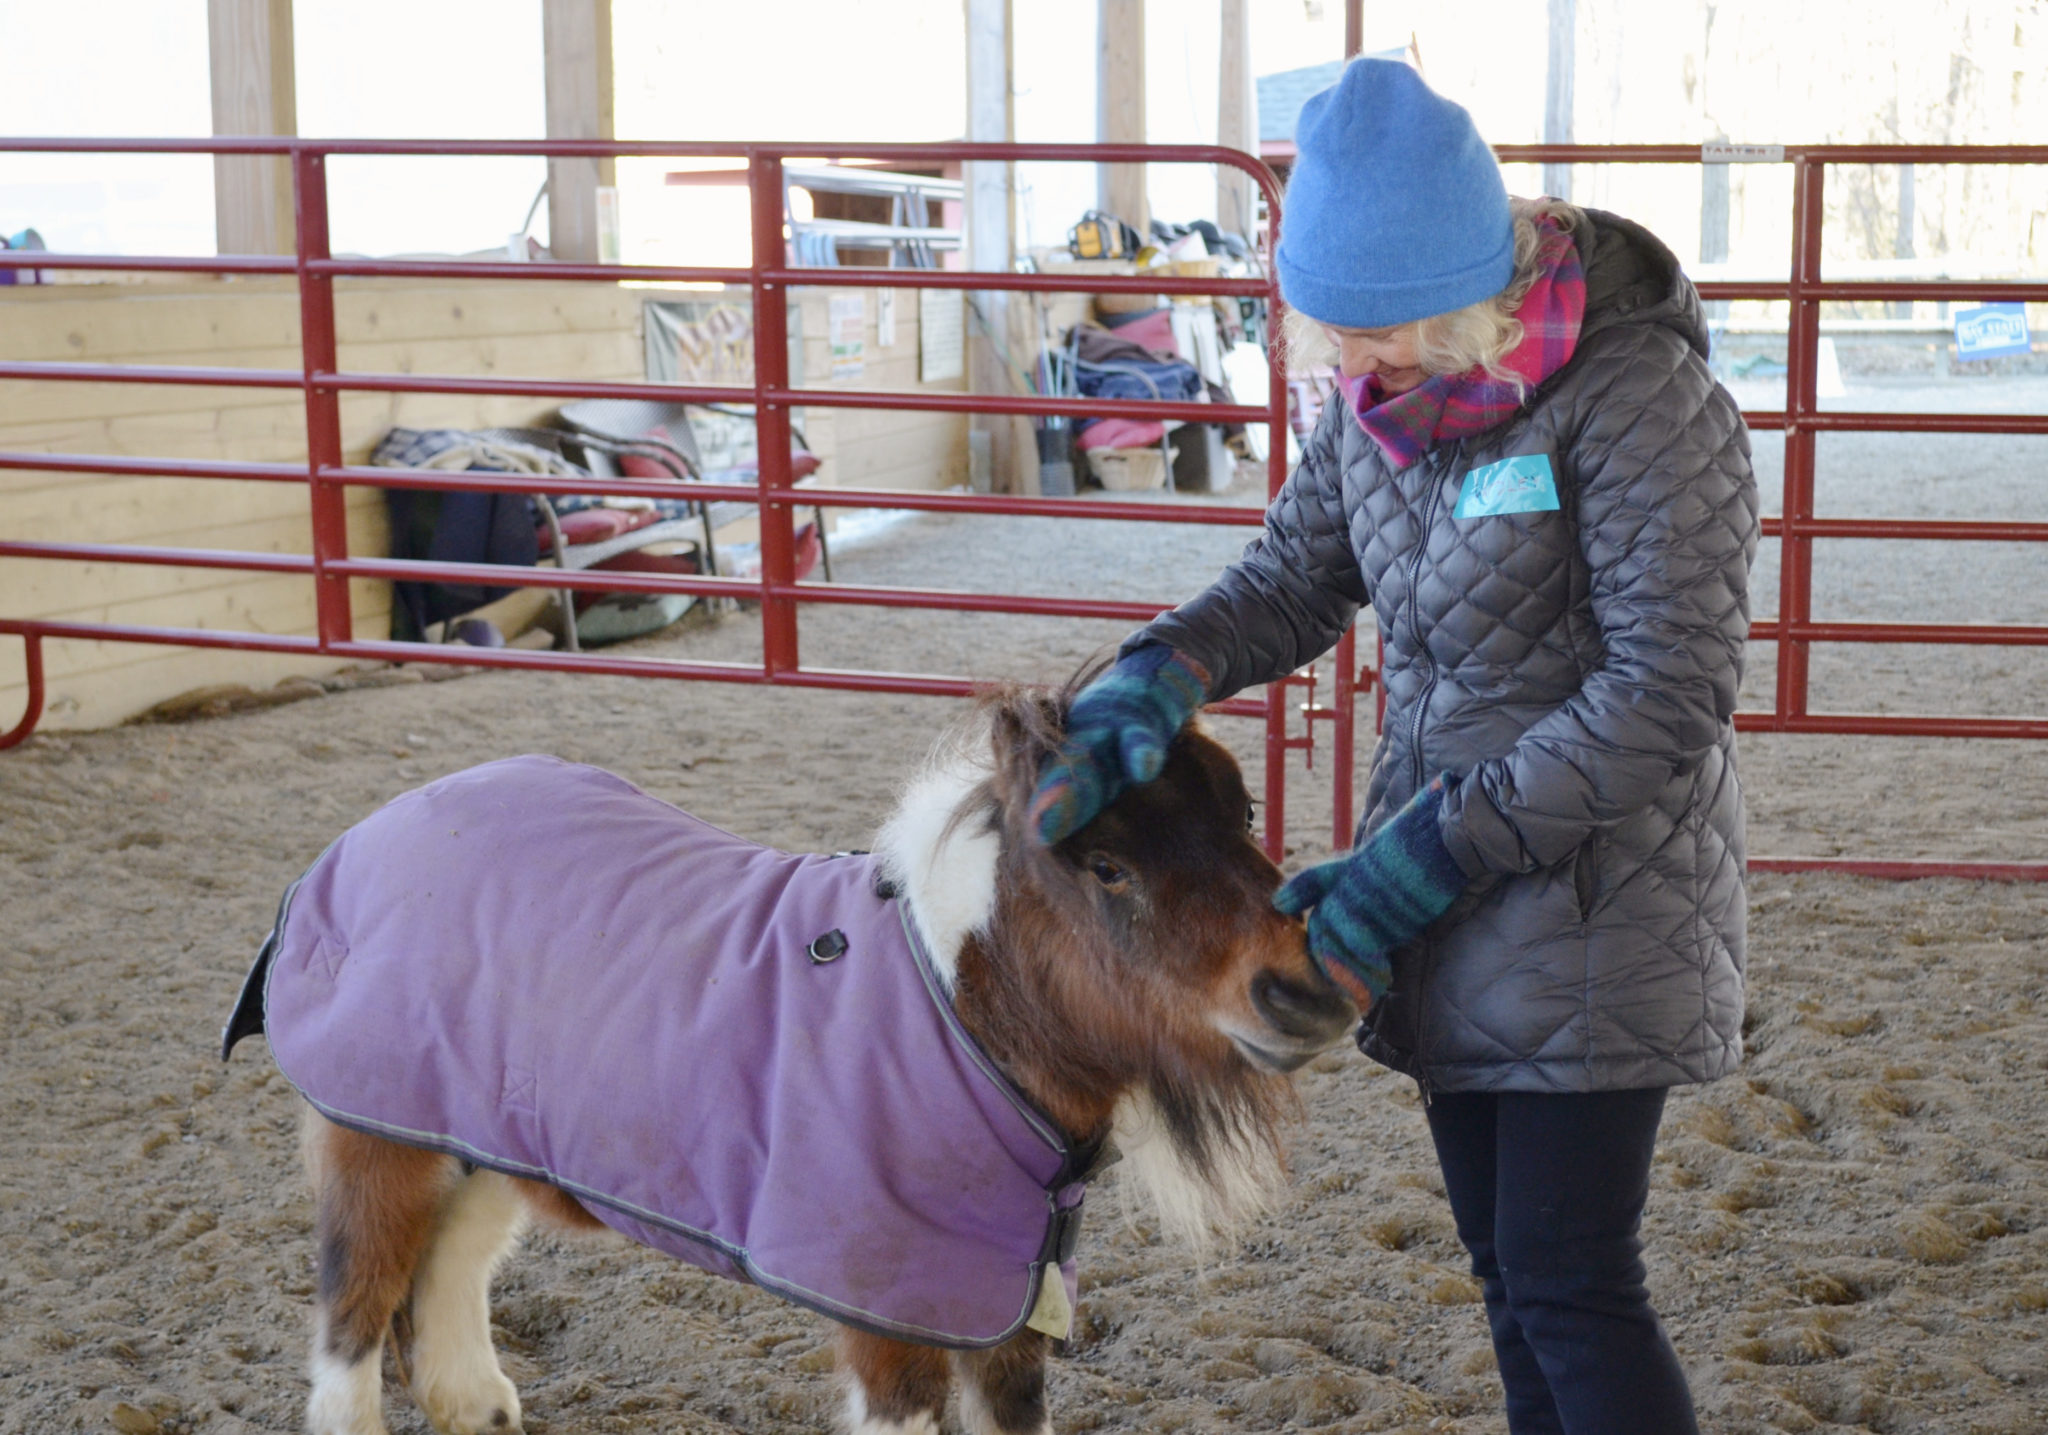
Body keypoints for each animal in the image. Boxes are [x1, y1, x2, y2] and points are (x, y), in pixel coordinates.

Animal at [235, 683, 1359, 1432]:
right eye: (1106, 866)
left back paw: (477, 1403)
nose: (1302, 992)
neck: (952, 1016)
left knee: (452, 1258)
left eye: (1242, 811)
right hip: (376, 1136)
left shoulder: (1005, 1316)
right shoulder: (887, 1317)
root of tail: (364, 839)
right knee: (356, 1304)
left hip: (486, 1134)